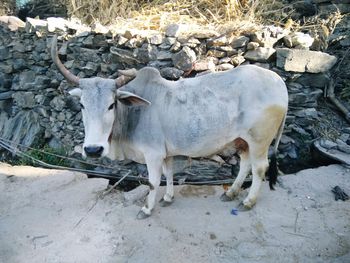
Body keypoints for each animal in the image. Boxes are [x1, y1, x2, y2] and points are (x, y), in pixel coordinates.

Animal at [51, 36, 288, 220]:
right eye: (82, 105)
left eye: (111, 104)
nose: (93, 150)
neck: (133, 114)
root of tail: (279, 82)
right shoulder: (166, 154)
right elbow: (169, 174)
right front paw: (168, 198)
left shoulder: (153, 154)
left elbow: (153, 182)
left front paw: (147, 209)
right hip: (243, 141)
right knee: (245, 164)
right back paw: (230, 193)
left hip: (259, 141)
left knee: (259, 168)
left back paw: (248, 201)